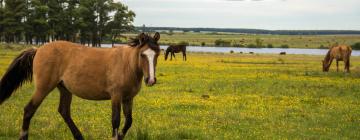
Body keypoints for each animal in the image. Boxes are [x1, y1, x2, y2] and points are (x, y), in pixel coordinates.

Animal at [0, 32, 160, 139]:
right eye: (142, 55)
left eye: (157, 54)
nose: (151, 80)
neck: (127, 64)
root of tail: (38, 49)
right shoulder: (116, 96)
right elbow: (116, 120)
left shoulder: (128, 98)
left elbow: (128, 121)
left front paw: (120, 136)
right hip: (43, 88)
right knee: (29, 110)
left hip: (64, 89)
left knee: (64, 111)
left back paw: (79, 136)